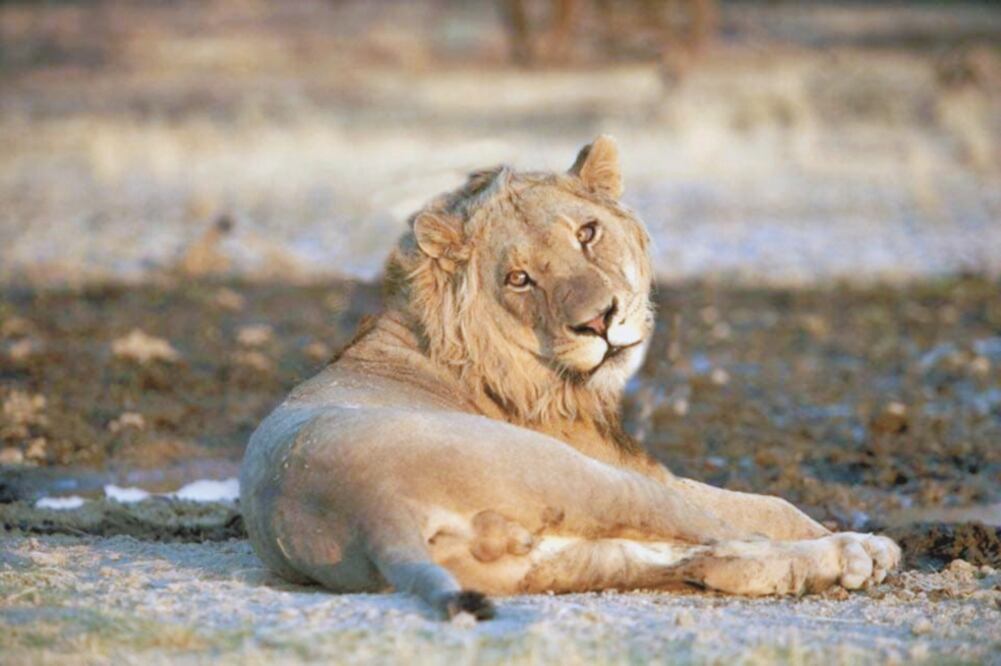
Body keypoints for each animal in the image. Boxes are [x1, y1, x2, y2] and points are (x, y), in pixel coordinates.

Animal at [240, 136, 900, 620]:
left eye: (587, 233)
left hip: (560, 562)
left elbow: (765, 510)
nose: (600, 321)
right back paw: (853, 553)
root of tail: (369, 511)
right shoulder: (638, 467)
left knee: (724, 561)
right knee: (732, 536)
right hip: (588, 478)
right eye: (519, 279)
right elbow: (768, 504)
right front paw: (856, 541)